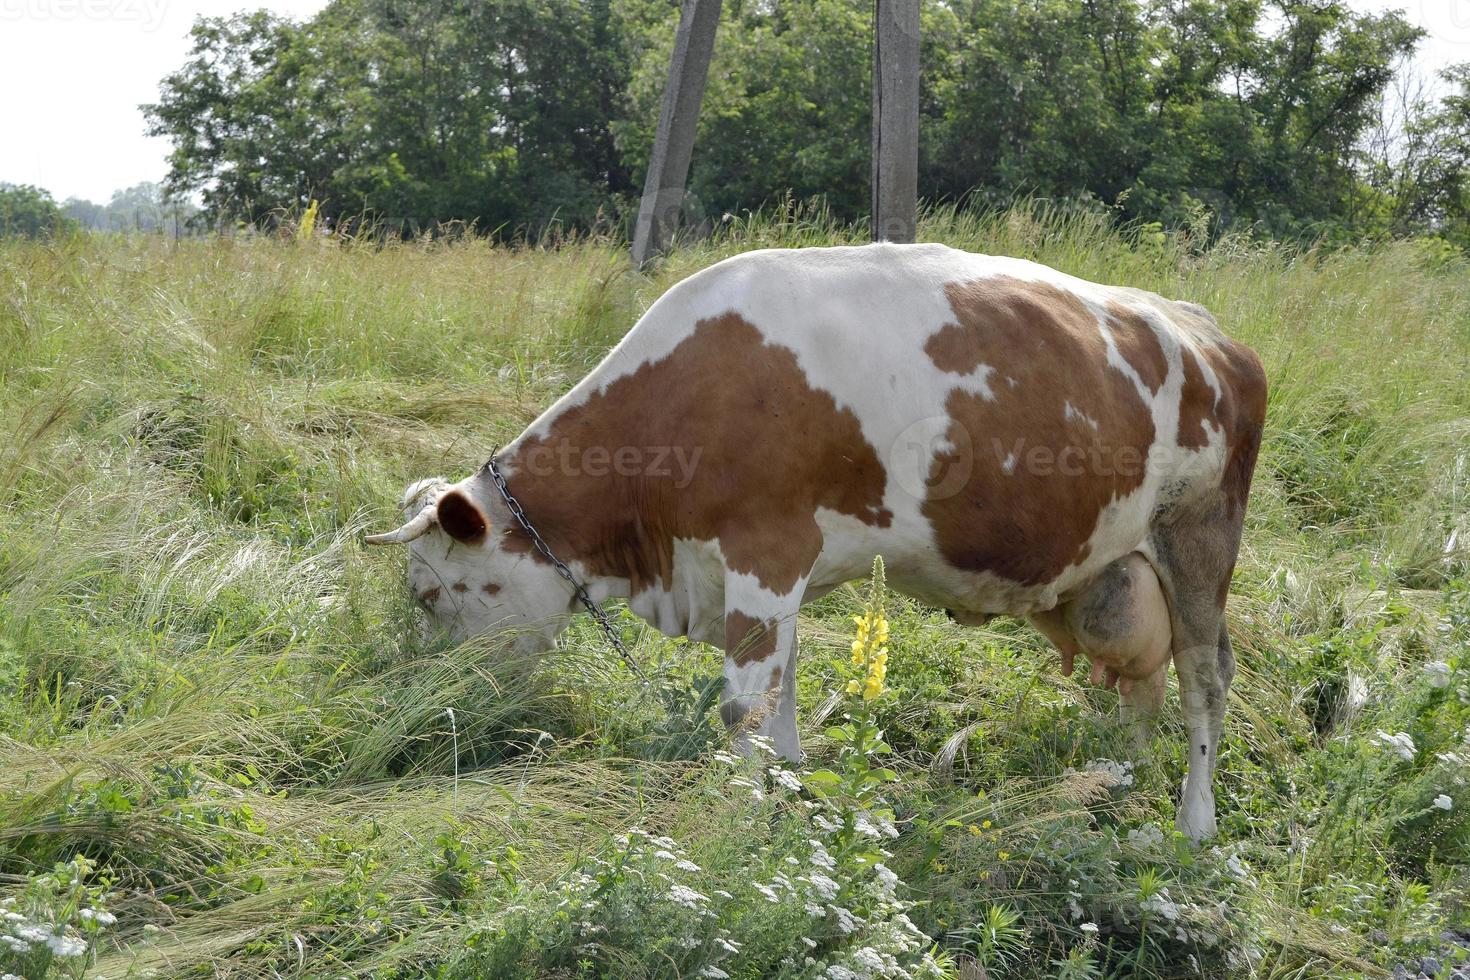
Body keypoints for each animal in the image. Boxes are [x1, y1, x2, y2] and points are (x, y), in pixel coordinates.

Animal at [364, 240, 1264, 840]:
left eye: (430, 592)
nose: (440, 711)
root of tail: (1209, 331)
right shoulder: (776, 570)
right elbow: (785, 688)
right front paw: (793, 785)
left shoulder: (765, 550)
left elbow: (743, 704)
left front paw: (736, 821)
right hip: (1121, 572)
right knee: (1142, 681)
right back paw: (1119, 782)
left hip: (1199, 543)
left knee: (1203, 680)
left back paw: (1195, 824)